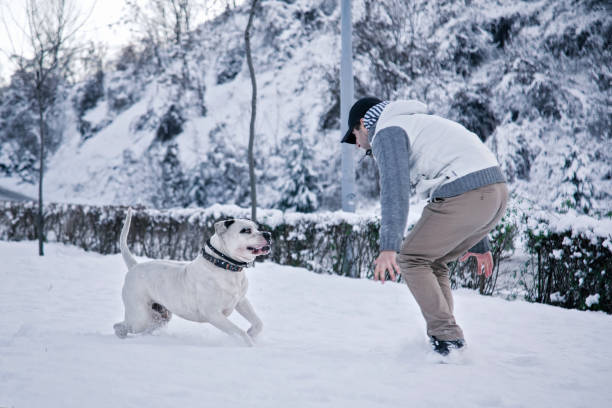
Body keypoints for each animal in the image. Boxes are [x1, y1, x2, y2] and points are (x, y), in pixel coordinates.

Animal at [112, 209, 270, 346]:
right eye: (246, 230)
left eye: (257, 228)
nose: (268, 234)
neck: (226, 266)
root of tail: (134, 266)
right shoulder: (213, 314)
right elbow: (239, 332)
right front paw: (249, 344)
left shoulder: (241, 301)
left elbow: (259, 323)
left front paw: (252, 333)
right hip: (140, 317)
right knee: (121, 326)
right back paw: (121, 335)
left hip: (160, 316)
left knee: (148, 326)